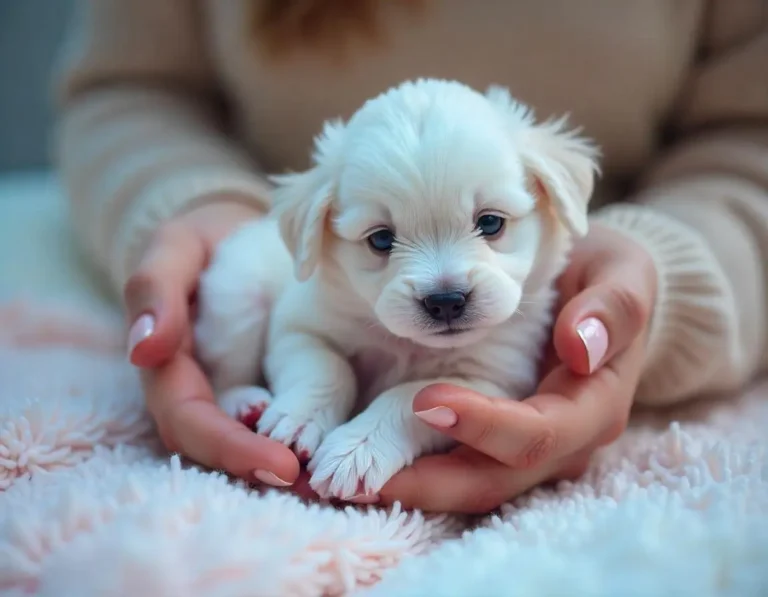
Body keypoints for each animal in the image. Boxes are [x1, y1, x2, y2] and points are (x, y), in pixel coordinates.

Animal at [194, 78, 600, 498]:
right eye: (380, 239)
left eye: (490, 222)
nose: (445, 301)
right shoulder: (297, 328)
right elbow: (327, 368)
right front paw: (296, 421)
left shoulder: (491, 381)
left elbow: (410, 397)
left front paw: (355, 450)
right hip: (236, 301)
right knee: (222, 376)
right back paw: (246, 403)